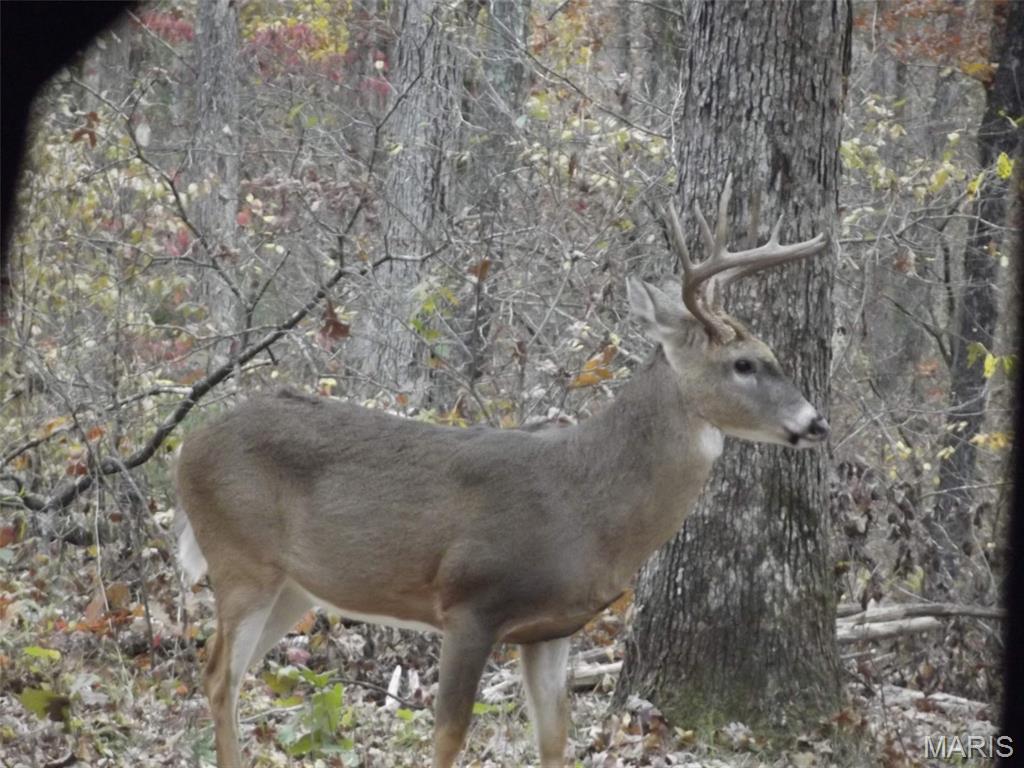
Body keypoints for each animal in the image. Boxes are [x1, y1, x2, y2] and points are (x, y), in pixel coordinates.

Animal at [175, 175, 831, 768]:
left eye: (772, 353)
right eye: (745, 363)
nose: (816, 422)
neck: (585, 504)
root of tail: (188, 445)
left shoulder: (553, 629)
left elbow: (555, 741)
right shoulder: (470, 602)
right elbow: (447, 739)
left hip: (293, 585)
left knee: (229, 674)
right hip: (241, 559)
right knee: (218, 675)